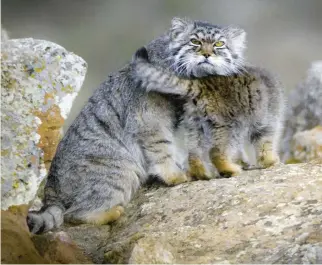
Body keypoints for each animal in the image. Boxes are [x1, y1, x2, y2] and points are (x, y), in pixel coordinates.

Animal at [133, 17, 284, 177]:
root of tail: (201, 84)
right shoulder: (266, 121)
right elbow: (265, 145)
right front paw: (271, 161)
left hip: (195, 124)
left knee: (193, 155)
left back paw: (203, 174)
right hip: (225, 125)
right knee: (215, 152)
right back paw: (229, 169)